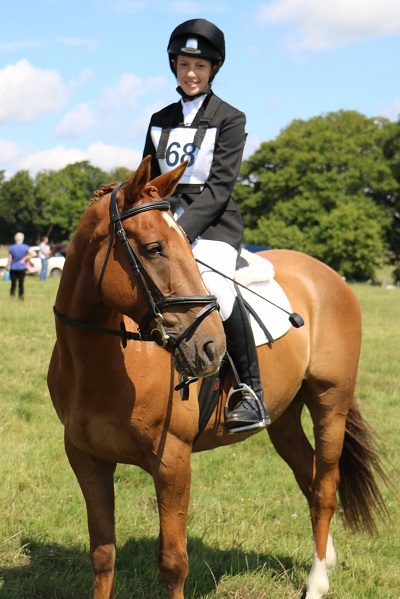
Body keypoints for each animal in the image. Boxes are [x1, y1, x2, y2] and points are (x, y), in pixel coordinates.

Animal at [47, 156, 388, 599]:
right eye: (153, 248)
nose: (212, 348)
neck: (97, 363)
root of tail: (329, 275)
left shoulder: (172, 462)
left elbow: (173, 562)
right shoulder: (87, 460)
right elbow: (103, 555)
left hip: (331, 402)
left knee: (327, 486)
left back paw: (317, 582)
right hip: (283, 417)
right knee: (309, 478)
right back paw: (325, 558)